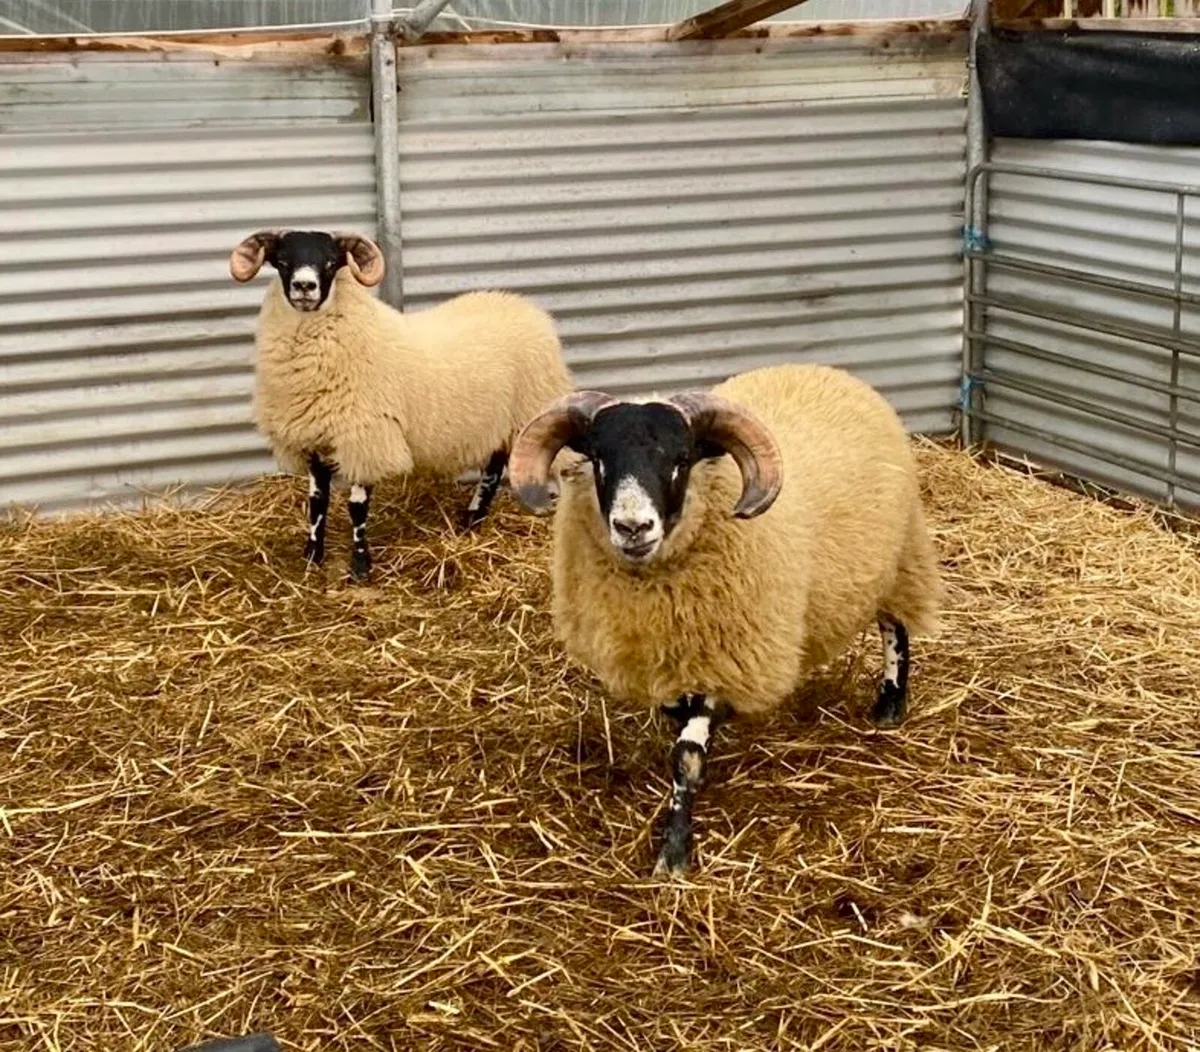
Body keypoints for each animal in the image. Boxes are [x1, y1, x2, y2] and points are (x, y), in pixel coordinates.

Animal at [229, 228, 574, 581]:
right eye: (283, 261)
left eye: (331, 262)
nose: (304, 286)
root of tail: (521, 303)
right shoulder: (314, 440)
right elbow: (316, 501)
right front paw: (312, 558)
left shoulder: (367, 438)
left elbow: (357, 508)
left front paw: (360, 568)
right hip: (500, 420)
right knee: (494, 467)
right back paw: (472, 520)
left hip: (535, 405)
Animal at [507, 362, 942, 876]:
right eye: (597, 458)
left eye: (681, 458)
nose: (633, 527)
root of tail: (829, 371)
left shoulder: (726, 650)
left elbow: (687, 758)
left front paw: (674, 852)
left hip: (897, 557)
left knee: (895, 628)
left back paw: (890, 704)